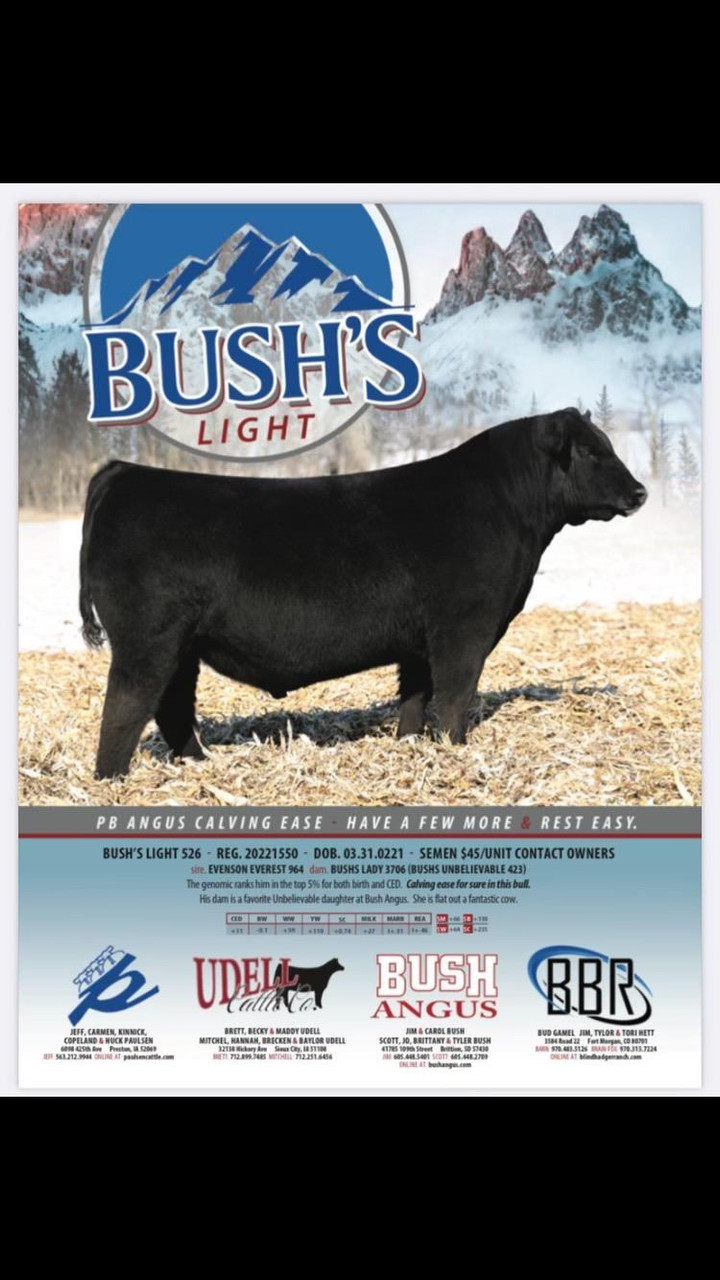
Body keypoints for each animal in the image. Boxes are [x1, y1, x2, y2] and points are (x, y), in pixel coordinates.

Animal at [79, 408, 647, 778]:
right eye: (592, 451)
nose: (640, 492)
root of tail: (123, 473)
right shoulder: (464, 626)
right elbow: (456, 694)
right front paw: (455, 750)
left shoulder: (419, 637)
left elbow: (415, 695)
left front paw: (411, 744)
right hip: (147, 640)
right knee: (126, 705)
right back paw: (112, 780)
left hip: (182, 646)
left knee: (172, 705)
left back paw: (198, 763)